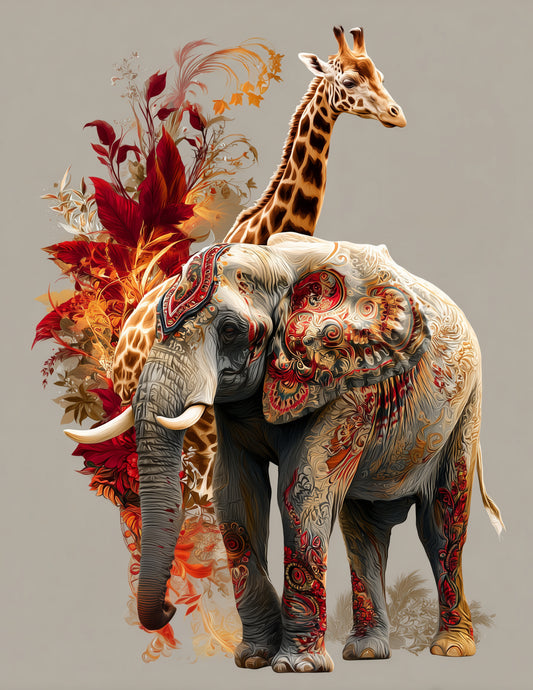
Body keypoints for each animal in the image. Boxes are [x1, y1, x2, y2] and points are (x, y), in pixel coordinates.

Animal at [65, 232, 503, 672]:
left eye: (229, 330)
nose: (170, 609)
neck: (276, 262)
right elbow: (236, 495)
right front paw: (254, 659)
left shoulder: (344, 384)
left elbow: (303, 492)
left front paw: (297, 667)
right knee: (363, 531)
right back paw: (365, 652)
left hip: (467, 406)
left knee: (442, 521)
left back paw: (450, 648)